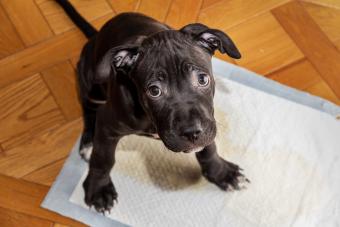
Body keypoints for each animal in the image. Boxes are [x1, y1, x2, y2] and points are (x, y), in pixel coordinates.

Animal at [55, 0, 247, 213]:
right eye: (154, 90)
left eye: (203, 79)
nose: (192, 133)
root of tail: (96, 37)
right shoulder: (106, 123)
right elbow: (103, 159)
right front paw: (99, 189)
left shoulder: (207, 120)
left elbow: (209, 147)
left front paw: (221, 173)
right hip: (90, 85)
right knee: (89, 112)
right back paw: (88, 143)